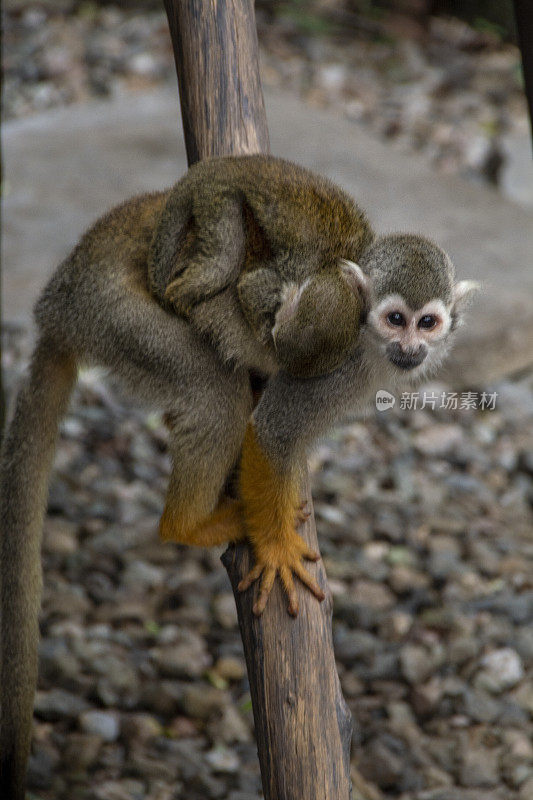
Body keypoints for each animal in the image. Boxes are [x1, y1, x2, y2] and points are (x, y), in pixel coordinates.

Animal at [0, 153, 474, 796]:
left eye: (427, 323)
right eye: (394, 318)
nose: (410, 349)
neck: (370, 349)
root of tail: (57, 301)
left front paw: (290, 498)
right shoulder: (334, 362)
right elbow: (272, 430)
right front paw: (276, 548)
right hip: (114, 312)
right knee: (211, 392)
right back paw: (188, 524)